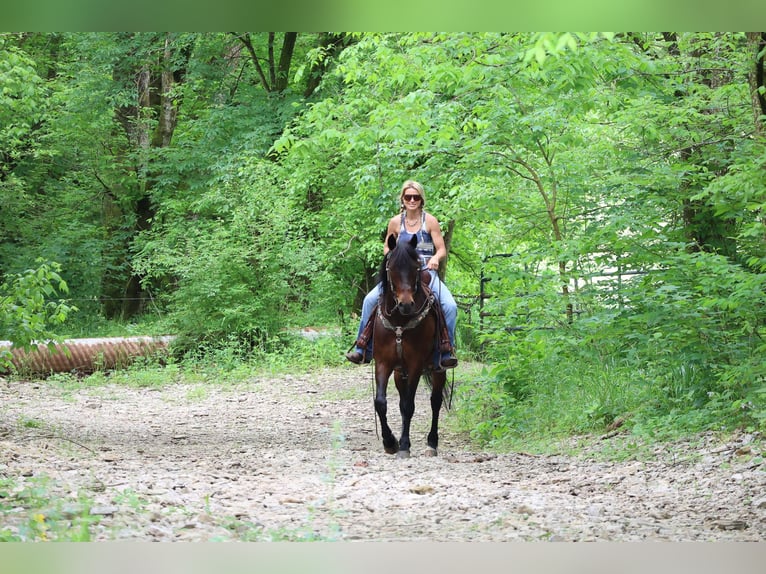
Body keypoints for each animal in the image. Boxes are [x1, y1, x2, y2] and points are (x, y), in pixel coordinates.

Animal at [374, 232, 450, 462]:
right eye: (391, 268)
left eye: (416, 267)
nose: (406, 304)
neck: (399, 320)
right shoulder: (383, 362)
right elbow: (381, 402)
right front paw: (390, 442)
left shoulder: (416, 364)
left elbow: (409, 406)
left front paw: (404, 446)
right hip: (401, 372)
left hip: (438, 368)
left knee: (435, 402)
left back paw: (432, 444)